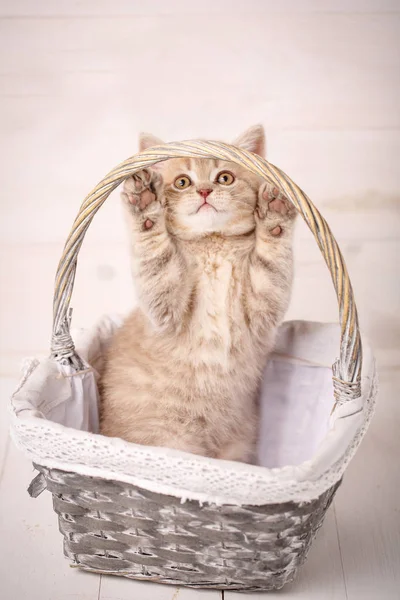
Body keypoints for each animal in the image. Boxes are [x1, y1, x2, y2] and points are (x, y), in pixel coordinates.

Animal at [99, 125, 296, 464]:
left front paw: (275, 216)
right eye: (182, 182)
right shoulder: (164, 308)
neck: (212, 247)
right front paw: (145, 203)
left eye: (224, 178)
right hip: (169, 442)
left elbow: (272, 261)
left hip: (235, 450)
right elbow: (156, 255)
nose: (204, 191)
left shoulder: (263, 306)